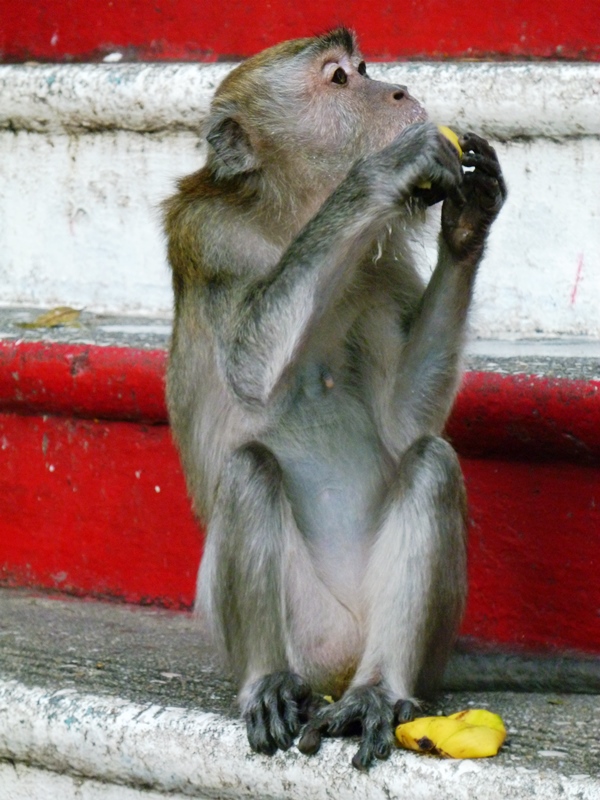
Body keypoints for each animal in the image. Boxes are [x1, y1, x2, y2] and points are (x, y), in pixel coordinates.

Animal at [163, 27, 506, 770]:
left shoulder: (384, 264)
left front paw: (470, 218)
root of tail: (342, 665)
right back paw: (269, 682)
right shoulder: (208, 237)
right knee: (250, 469)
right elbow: (250, 368)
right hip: (311, 634)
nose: (399, 92)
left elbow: (406, 419)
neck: (293, 216)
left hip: (409, 638)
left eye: (364, 68)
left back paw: (379, 691)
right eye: (339, 79)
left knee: (430, 462)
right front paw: (381, 172)